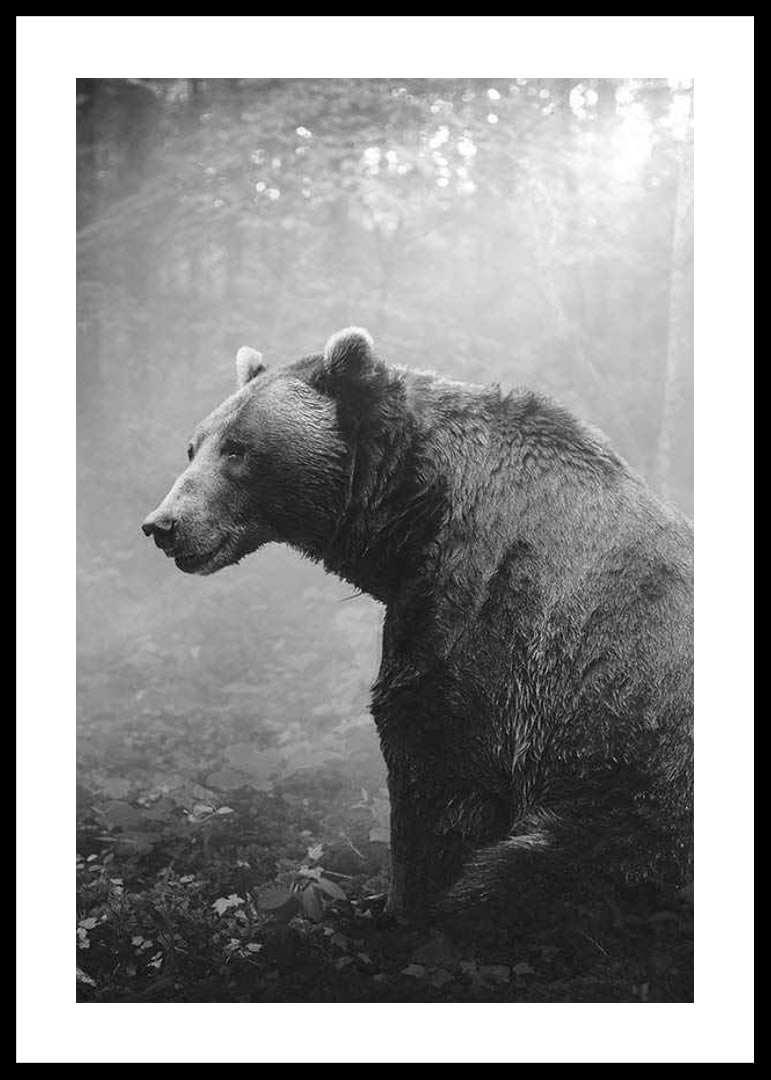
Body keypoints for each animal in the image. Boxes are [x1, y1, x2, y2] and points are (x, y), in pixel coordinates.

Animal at [142, 328, 693, 925]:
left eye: (238, 448)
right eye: (194, 446)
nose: (163, 525)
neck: (413, 517)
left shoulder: (488, 618)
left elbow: (437, 770)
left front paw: (399, 906)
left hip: (633, 810)